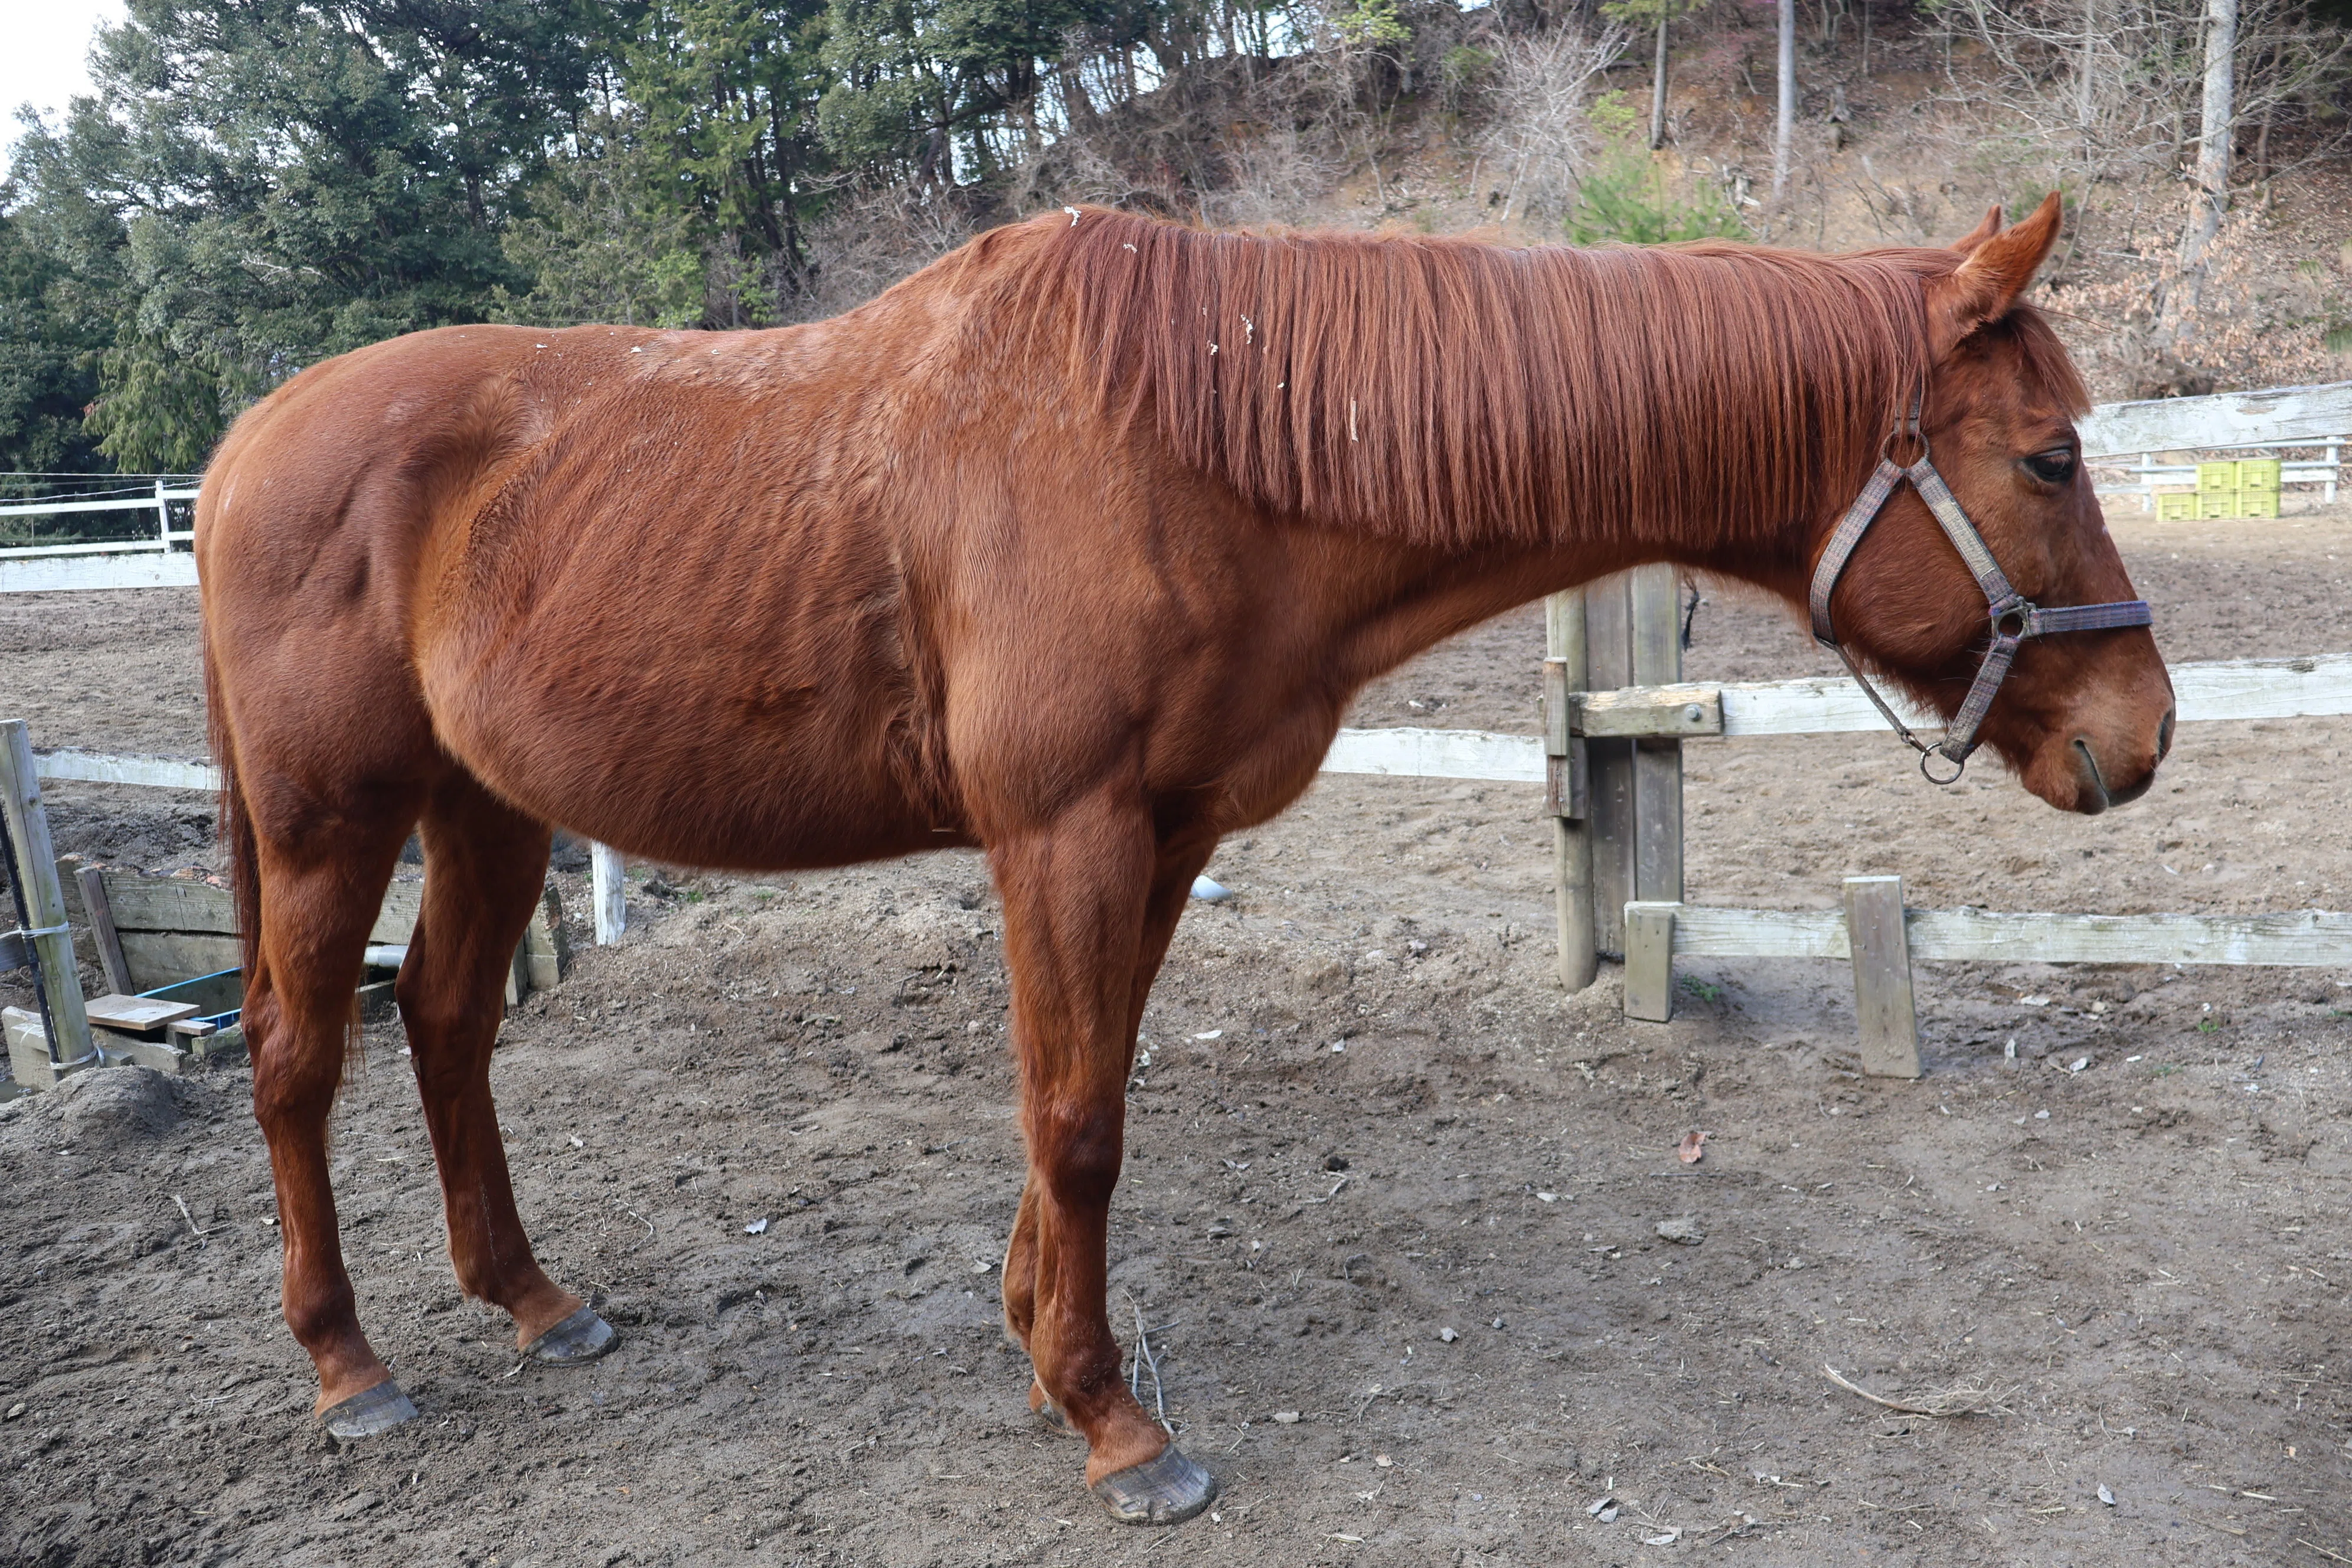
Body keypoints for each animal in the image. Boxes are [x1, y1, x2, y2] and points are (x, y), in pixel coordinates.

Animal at [194, 191, 2173, 1525]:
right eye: (2051, 456)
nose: (2140, 735)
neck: (1195, 444)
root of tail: (242, 444)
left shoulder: (1154, 839)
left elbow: (1083, 1101)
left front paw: (1033, 1343)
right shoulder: (1060, 836)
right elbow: (1077, 1119)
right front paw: (1112, 1425)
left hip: (485, 806)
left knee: (447, 1027)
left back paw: (532, 1303)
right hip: (328, 817)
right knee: (297, 1056)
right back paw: (348, 1370)